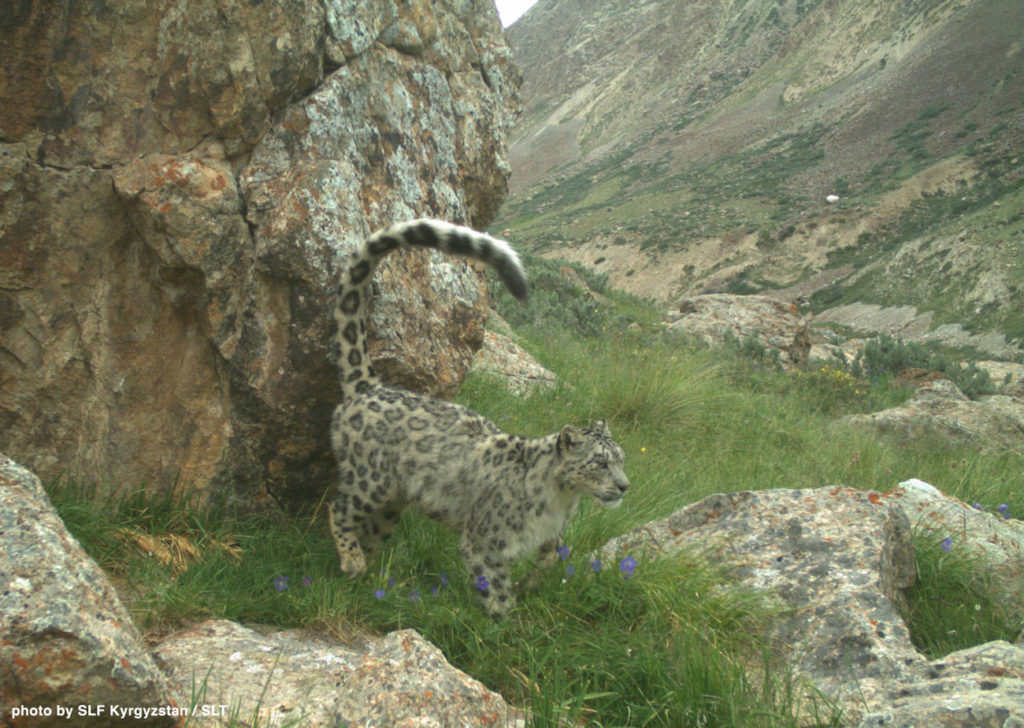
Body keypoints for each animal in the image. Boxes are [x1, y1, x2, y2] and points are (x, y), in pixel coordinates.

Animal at [327, 219, 629, 617]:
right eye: (599, 462)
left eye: (622, 459)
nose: (624, 486)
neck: (561, 502)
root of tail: (370, 387)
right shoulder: (486, 542)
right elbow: (497, 588)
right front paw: (507, 620)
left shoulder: (552, 533)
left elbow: (551, 555)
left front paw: (530, 582)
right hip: (369, 481)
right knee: (339, 508)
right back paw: (352, 561)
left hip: (391, 503)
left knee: (371, 531)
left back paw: (370, 576)